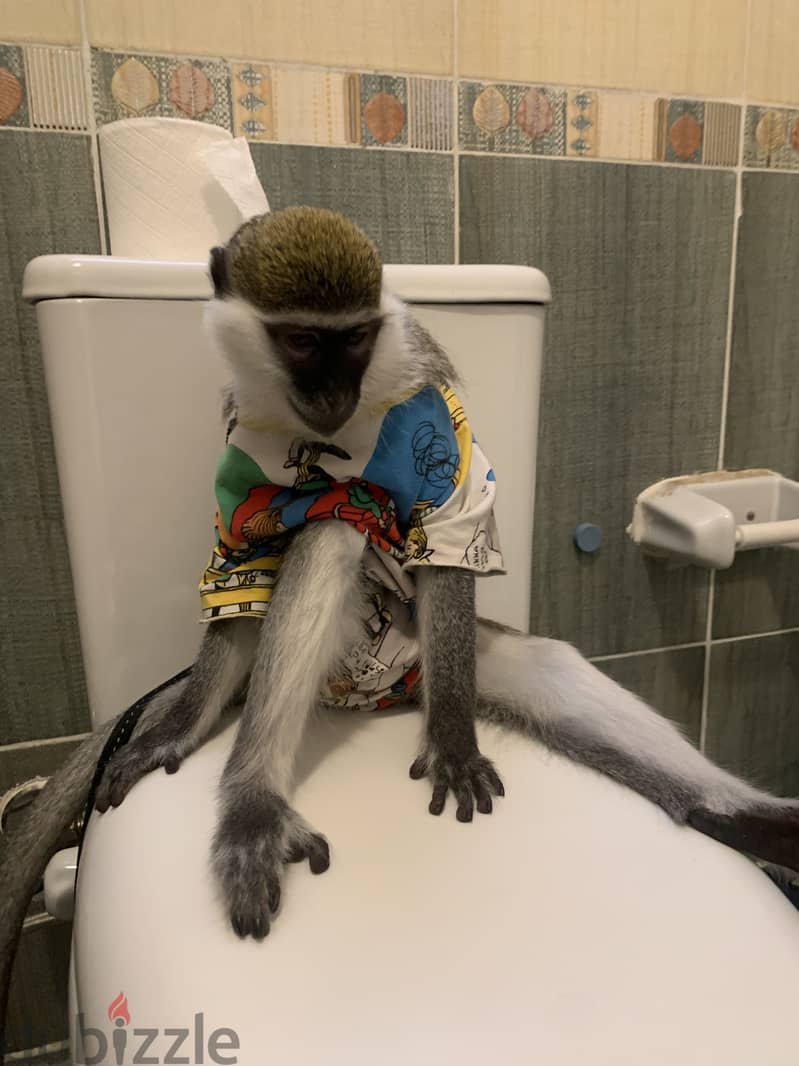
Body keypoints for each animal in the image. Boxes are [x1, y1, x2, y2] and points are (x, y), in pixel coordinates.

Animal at [2, 206, 799, 1046]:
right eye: (300, 340)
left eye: (354, 338)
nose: (329, 392)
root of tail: (386, 697)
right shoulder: (242, 443)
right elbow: (241, 572)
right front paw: (181, 726)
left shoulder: (432, 410)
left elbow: (451, 538)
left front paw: (450, 740)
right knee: (330, 528)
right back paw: (252, 804)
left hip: (456, 659)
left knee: (544, 665)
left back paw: (742, 819)